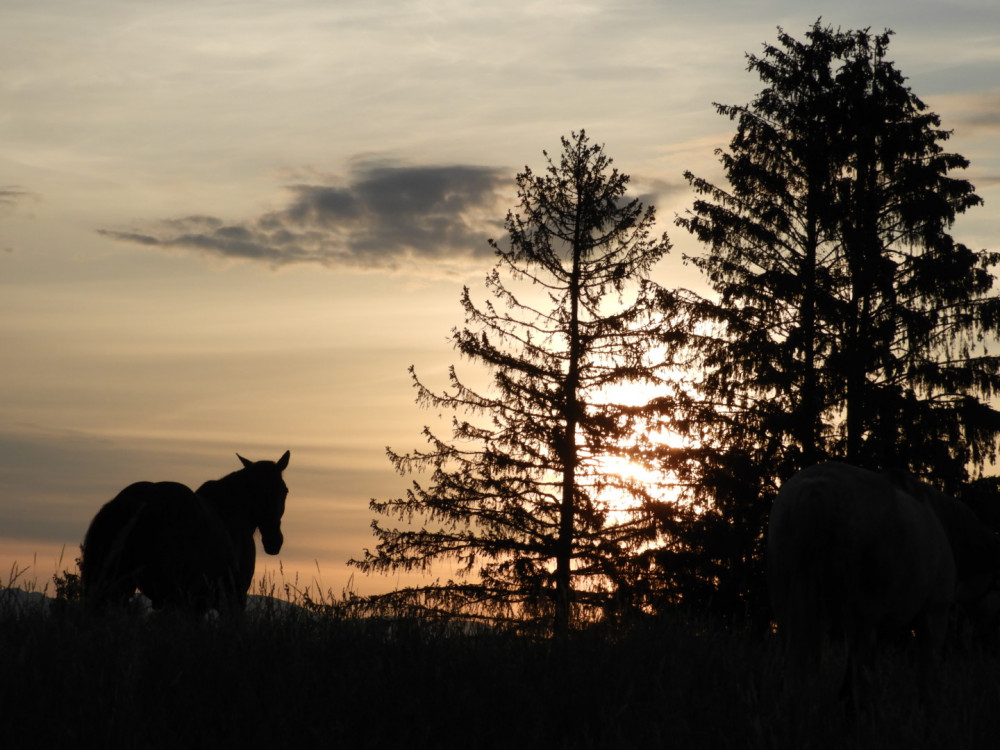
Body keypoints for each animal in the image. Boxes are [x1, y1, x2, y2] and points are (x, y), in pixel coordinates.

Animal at [768, 464, 996, 704]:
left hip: (790, 614)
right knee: (857, 675)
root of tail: (815, 487)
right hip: (861, 619)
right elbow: (927, 676)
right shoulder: (934, 613)